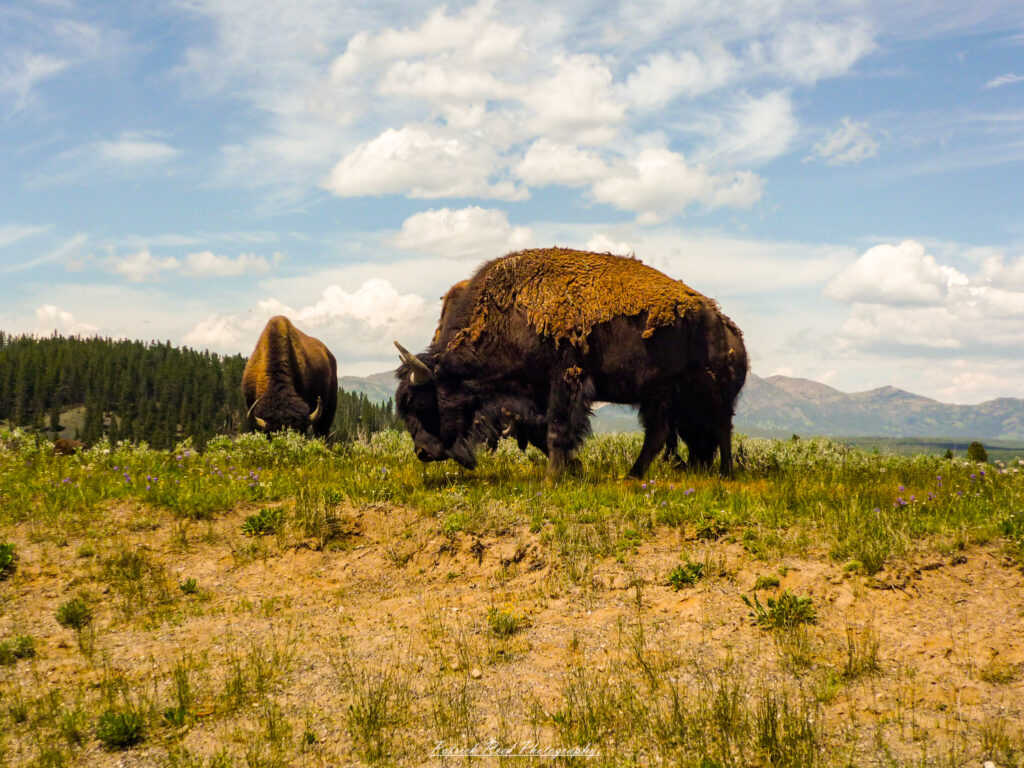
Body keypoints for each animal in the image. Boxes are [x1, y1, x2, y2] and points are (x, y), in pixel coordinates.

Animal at [395, 247, 747, 480]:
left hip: (707, 391)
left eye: (422, 403)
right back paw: (631, 476)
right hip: (658, 396)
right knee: (658, 434)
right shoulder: (536, 393)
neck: (508, 316)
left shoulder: (564, 379)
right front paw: (571, 469)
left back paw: (726, 474)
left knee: (721, 427)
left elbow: (556, 430)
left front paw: (553, 478)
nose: (423, 452)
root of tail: (720, 320)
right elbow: (542, 433)